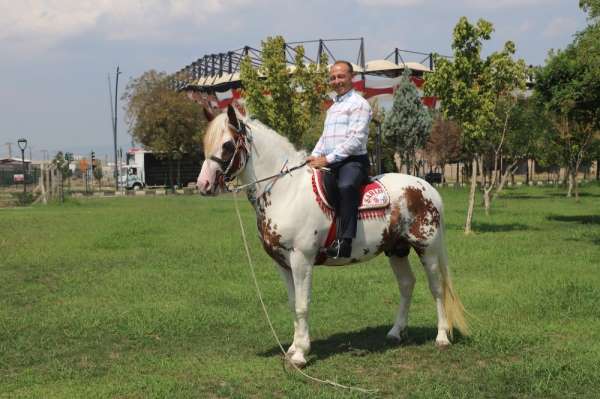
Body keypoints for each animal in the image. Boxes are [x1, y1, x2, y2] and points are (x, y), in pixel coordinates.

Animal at [197, 104, 468, 368]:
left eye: (227, 145)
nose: (203, 185)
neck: (286, 190)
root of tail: (428, 188)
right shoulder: (283, 264)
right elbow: (293, 304)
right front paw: (293, 348)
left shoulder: (301, 259)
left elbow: (302, 305)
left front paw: (300, 354)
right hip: (396, 250)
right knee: (406, 284)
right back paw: (395, 332)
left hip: (427, 249)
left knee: (437, 288)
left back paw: (442, 337)